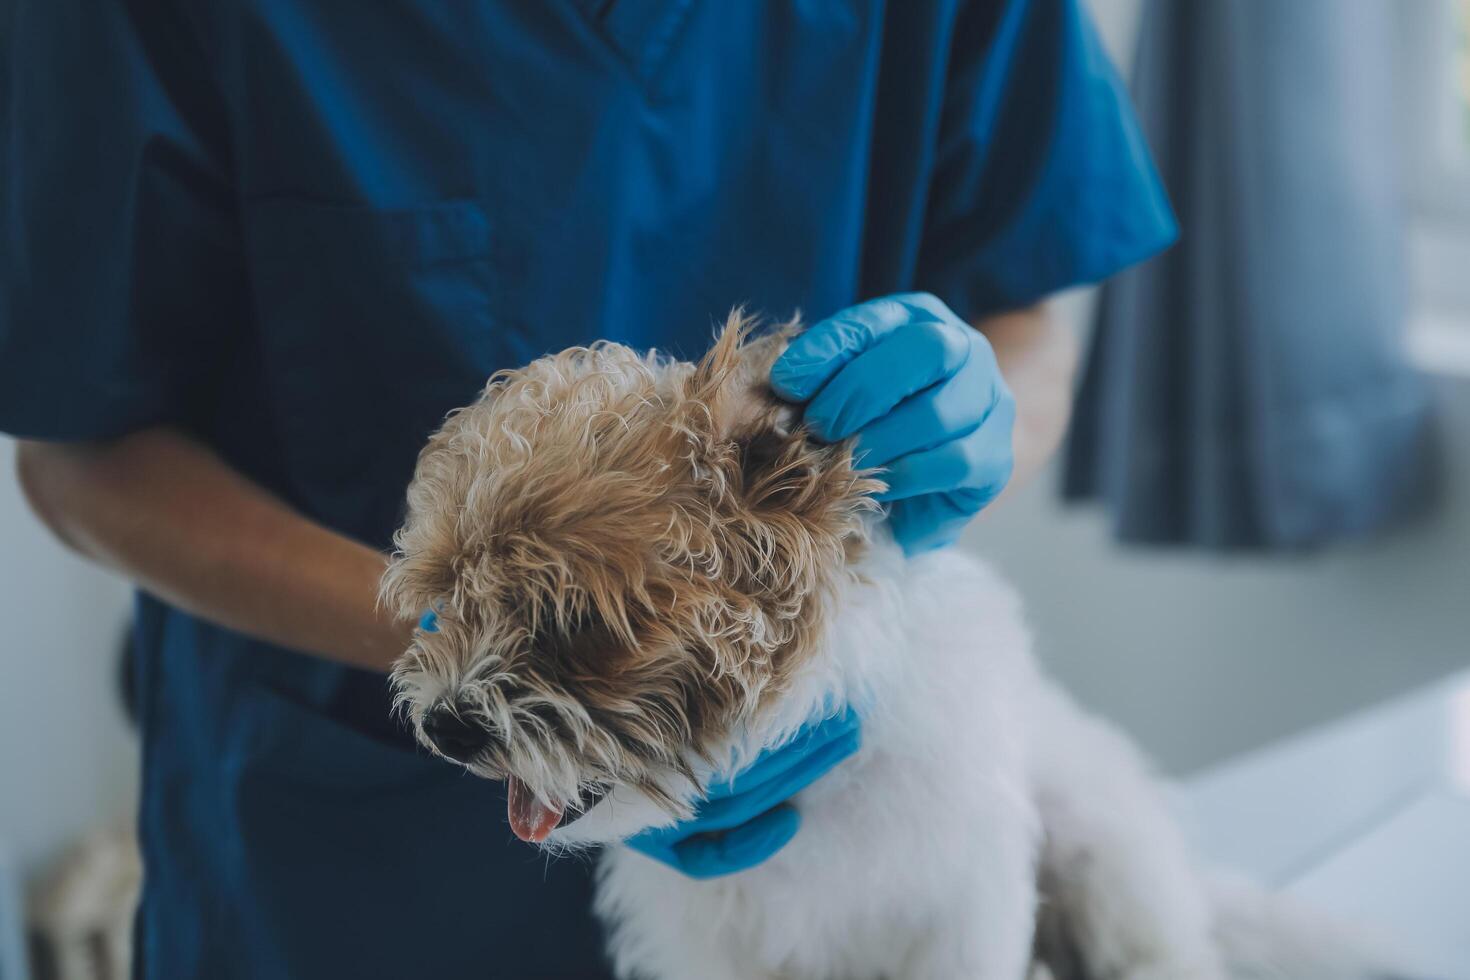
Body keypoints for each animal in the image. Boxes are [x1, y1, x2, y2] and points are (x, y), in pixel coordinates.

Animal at [385, 318, 1393, 975]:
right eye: (446, 601)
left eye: (574, 620)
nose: (447, 725)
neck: (812, 785)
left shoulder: (960, 915)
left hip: (1107, 856)